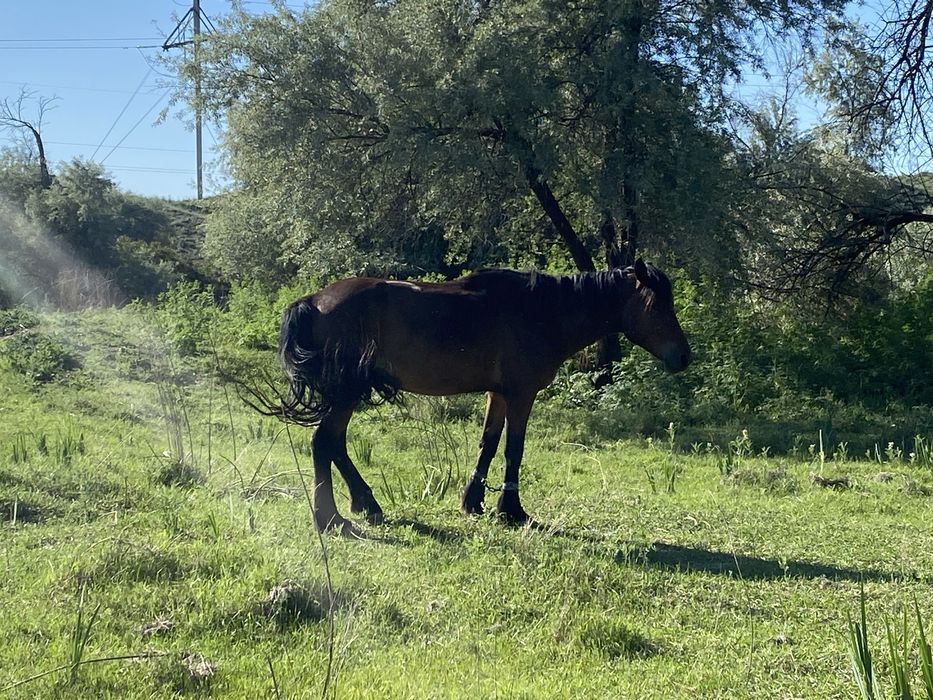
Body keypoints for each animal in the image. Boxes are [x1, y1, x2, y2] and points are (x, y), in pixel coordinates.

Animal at [265, 259, 691, 534]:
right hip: (346, 391)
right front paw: (511, 510)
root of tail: (314, 300)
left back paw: (365, 504)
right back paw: (330, 519)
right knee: (323, 441)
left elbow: (488, 443)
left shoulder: (498, 395)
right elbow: (513, 450)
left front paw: (473, 500)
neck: (543, 310)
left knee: (334, 443)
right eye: (658, 306)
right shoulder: (521, 394)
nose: (684, 356)